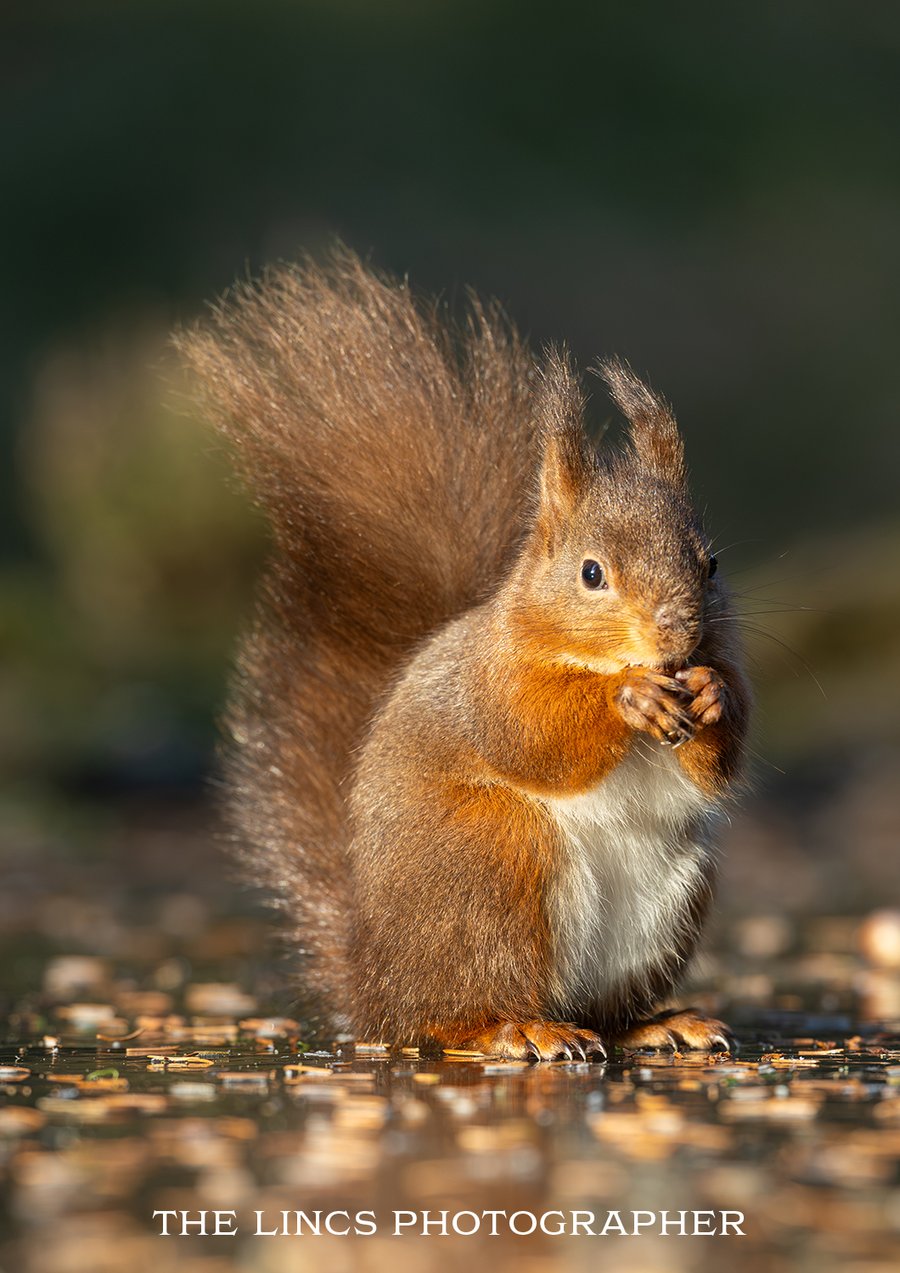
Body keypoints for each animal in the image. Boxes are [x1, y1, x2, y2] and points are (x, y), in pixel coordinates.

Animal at [178, 247, 751, 1060]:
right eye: (591, 573)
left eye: (710, 564)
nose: (678, 633)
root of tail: (375, 984)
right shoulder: (492, 680)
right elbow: (530, 733)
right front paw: (629, 699)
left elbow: (724, 752)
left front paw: (711, 694)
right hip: (495, 862)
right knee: (452, 1013)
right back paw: (515, 1028)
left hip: (670, 898)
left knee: (605, 1012)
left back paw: (659, 1023)